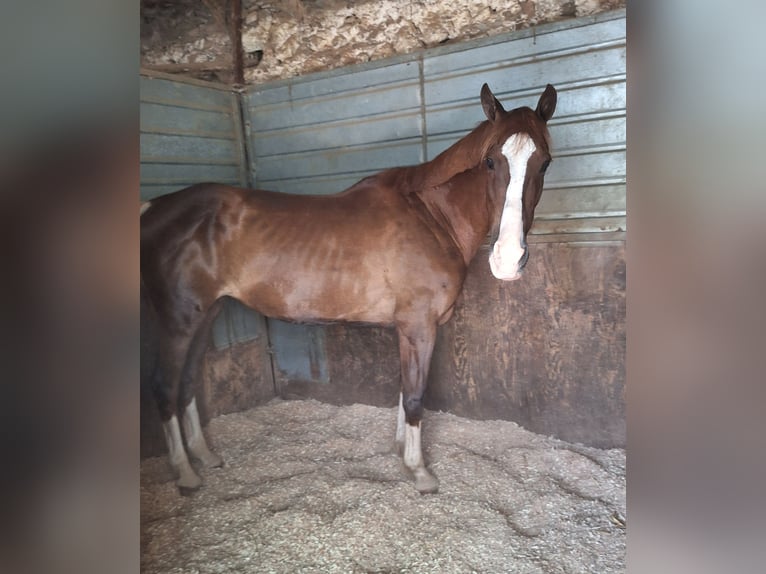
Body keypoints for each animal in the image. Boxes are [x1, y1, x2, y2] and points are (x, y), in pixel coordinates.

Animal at [140, 83, 560, 498]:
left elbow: (404, 388)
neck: (430, 215)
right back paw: (185, 473)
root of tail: (154, 208)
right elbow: (415, 395)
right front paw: (419, 470)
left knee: (188, 382)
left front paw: (399, 450)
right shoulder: (420, 326)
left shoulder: (407, 329)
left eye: (544, 163)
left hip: (206, 315)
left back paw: (204, 456)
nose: (509, 259)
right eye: (490, 161)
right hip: (179, 322)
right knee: (164, 386)